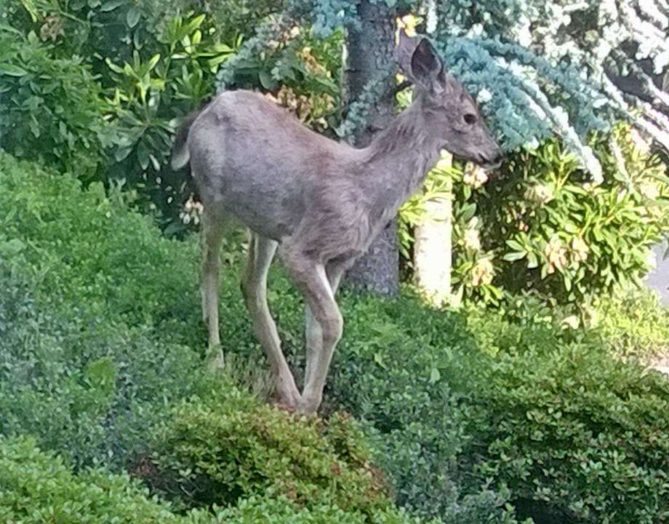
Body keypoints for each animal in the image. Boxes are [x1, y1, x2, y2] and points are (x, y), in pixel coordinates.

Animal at [171, 30, 503, 415]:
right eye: (469, 116)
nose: (496, 154)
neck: (366, 190)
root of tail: (205, 111)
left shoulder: (338, 260)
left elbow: (317, 328)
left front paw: (305, 401)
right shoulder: (304, 247)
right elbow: (334, 323)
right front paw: (309, 406)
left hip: (265, 224)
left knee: (251, 284)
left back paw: (285, 387)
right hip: (214, 196)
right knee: (210, 269)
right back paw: (216, 359)